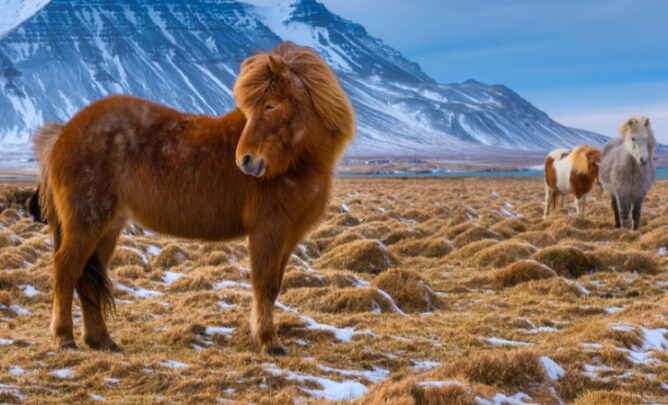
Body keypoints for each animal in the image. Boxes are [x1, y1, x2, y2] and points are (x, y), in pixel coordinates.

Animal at [32, 41, 354, 354]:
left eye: (270, 105)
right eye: (253, 108)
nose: (245, 160)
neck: (295, 164)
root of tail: (64, 131)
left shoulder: (288, 236)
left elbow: (274, 286)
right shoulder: (268, 230)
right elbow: (263, 284)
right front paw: (269, 342)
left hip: (108, 227)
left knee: (88, 277)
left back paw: (102, 341)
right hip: (85, 223)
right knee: (66, 269)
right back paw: (65, 338)